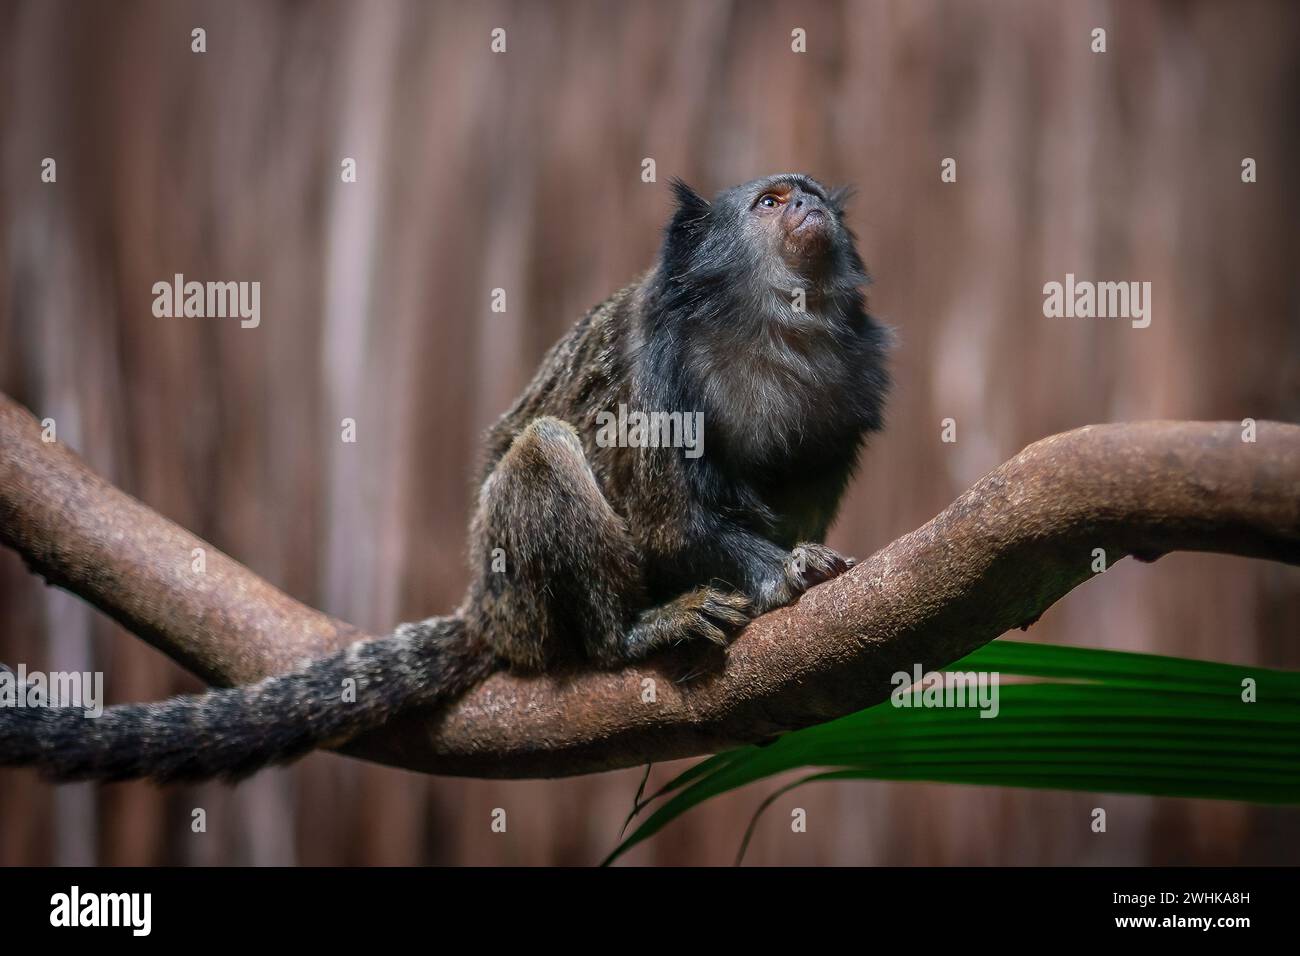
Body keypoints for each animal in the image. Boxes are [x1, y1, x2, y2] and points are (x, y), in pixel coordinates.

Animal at [0, 174, 889, 785]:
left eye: (812, 194)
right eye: (771, 201)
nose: (808, 204)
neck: (771, 339)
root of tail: (486, 610)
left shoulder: (846, 398)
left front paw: (799, 553)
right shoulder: (658, 375)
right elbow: (673, 517)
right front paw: (781, 573)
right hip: (519, 590)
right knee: (543, 453)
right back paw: (631, 633)